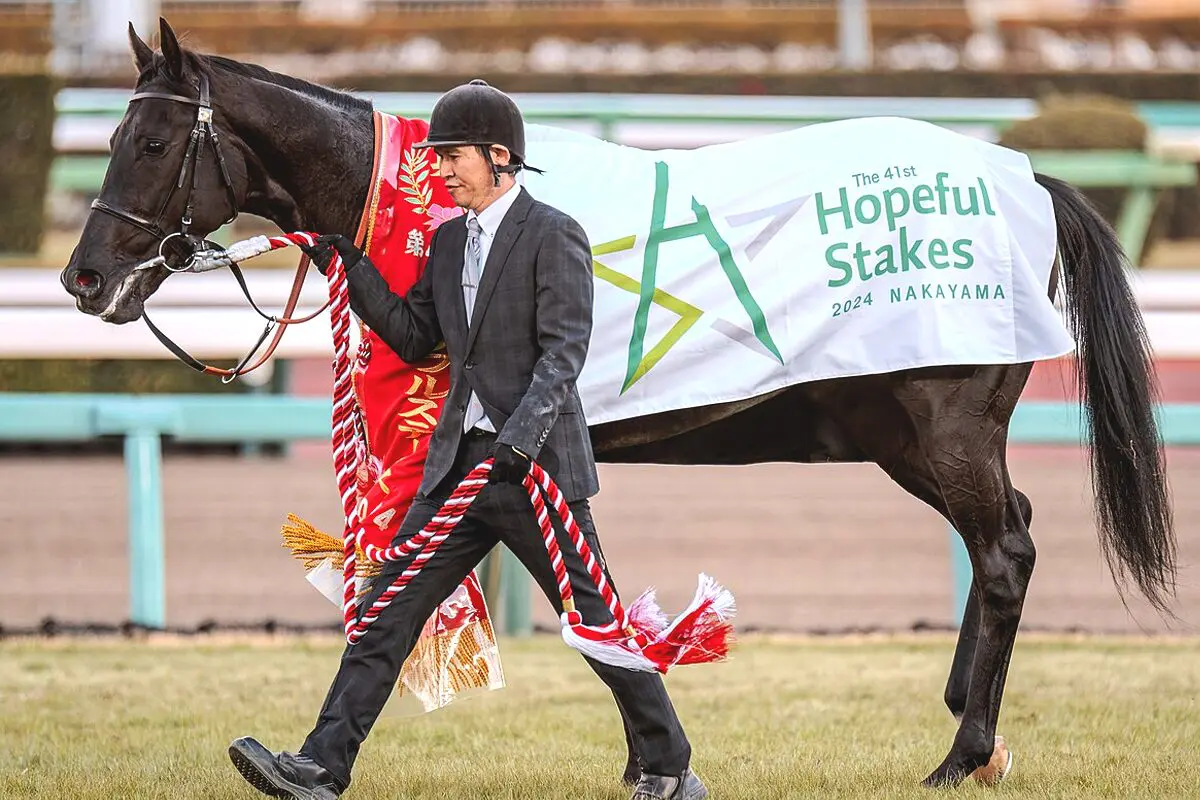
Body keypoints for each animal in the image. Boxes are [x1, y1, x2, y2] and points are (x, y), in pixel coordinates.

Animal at [60, 18, 1175, 789]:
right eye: (112, 135)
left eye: (150, 144)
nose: (82, 277)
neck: (420, 199)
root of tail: (1024, 178)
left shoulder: (506, 456)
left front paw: (656, 752)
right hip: (909, 436)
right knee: (1005, 538)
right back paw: (967, 724)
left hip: (942, 428)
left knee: (1005, 551)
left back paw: (962, 751)